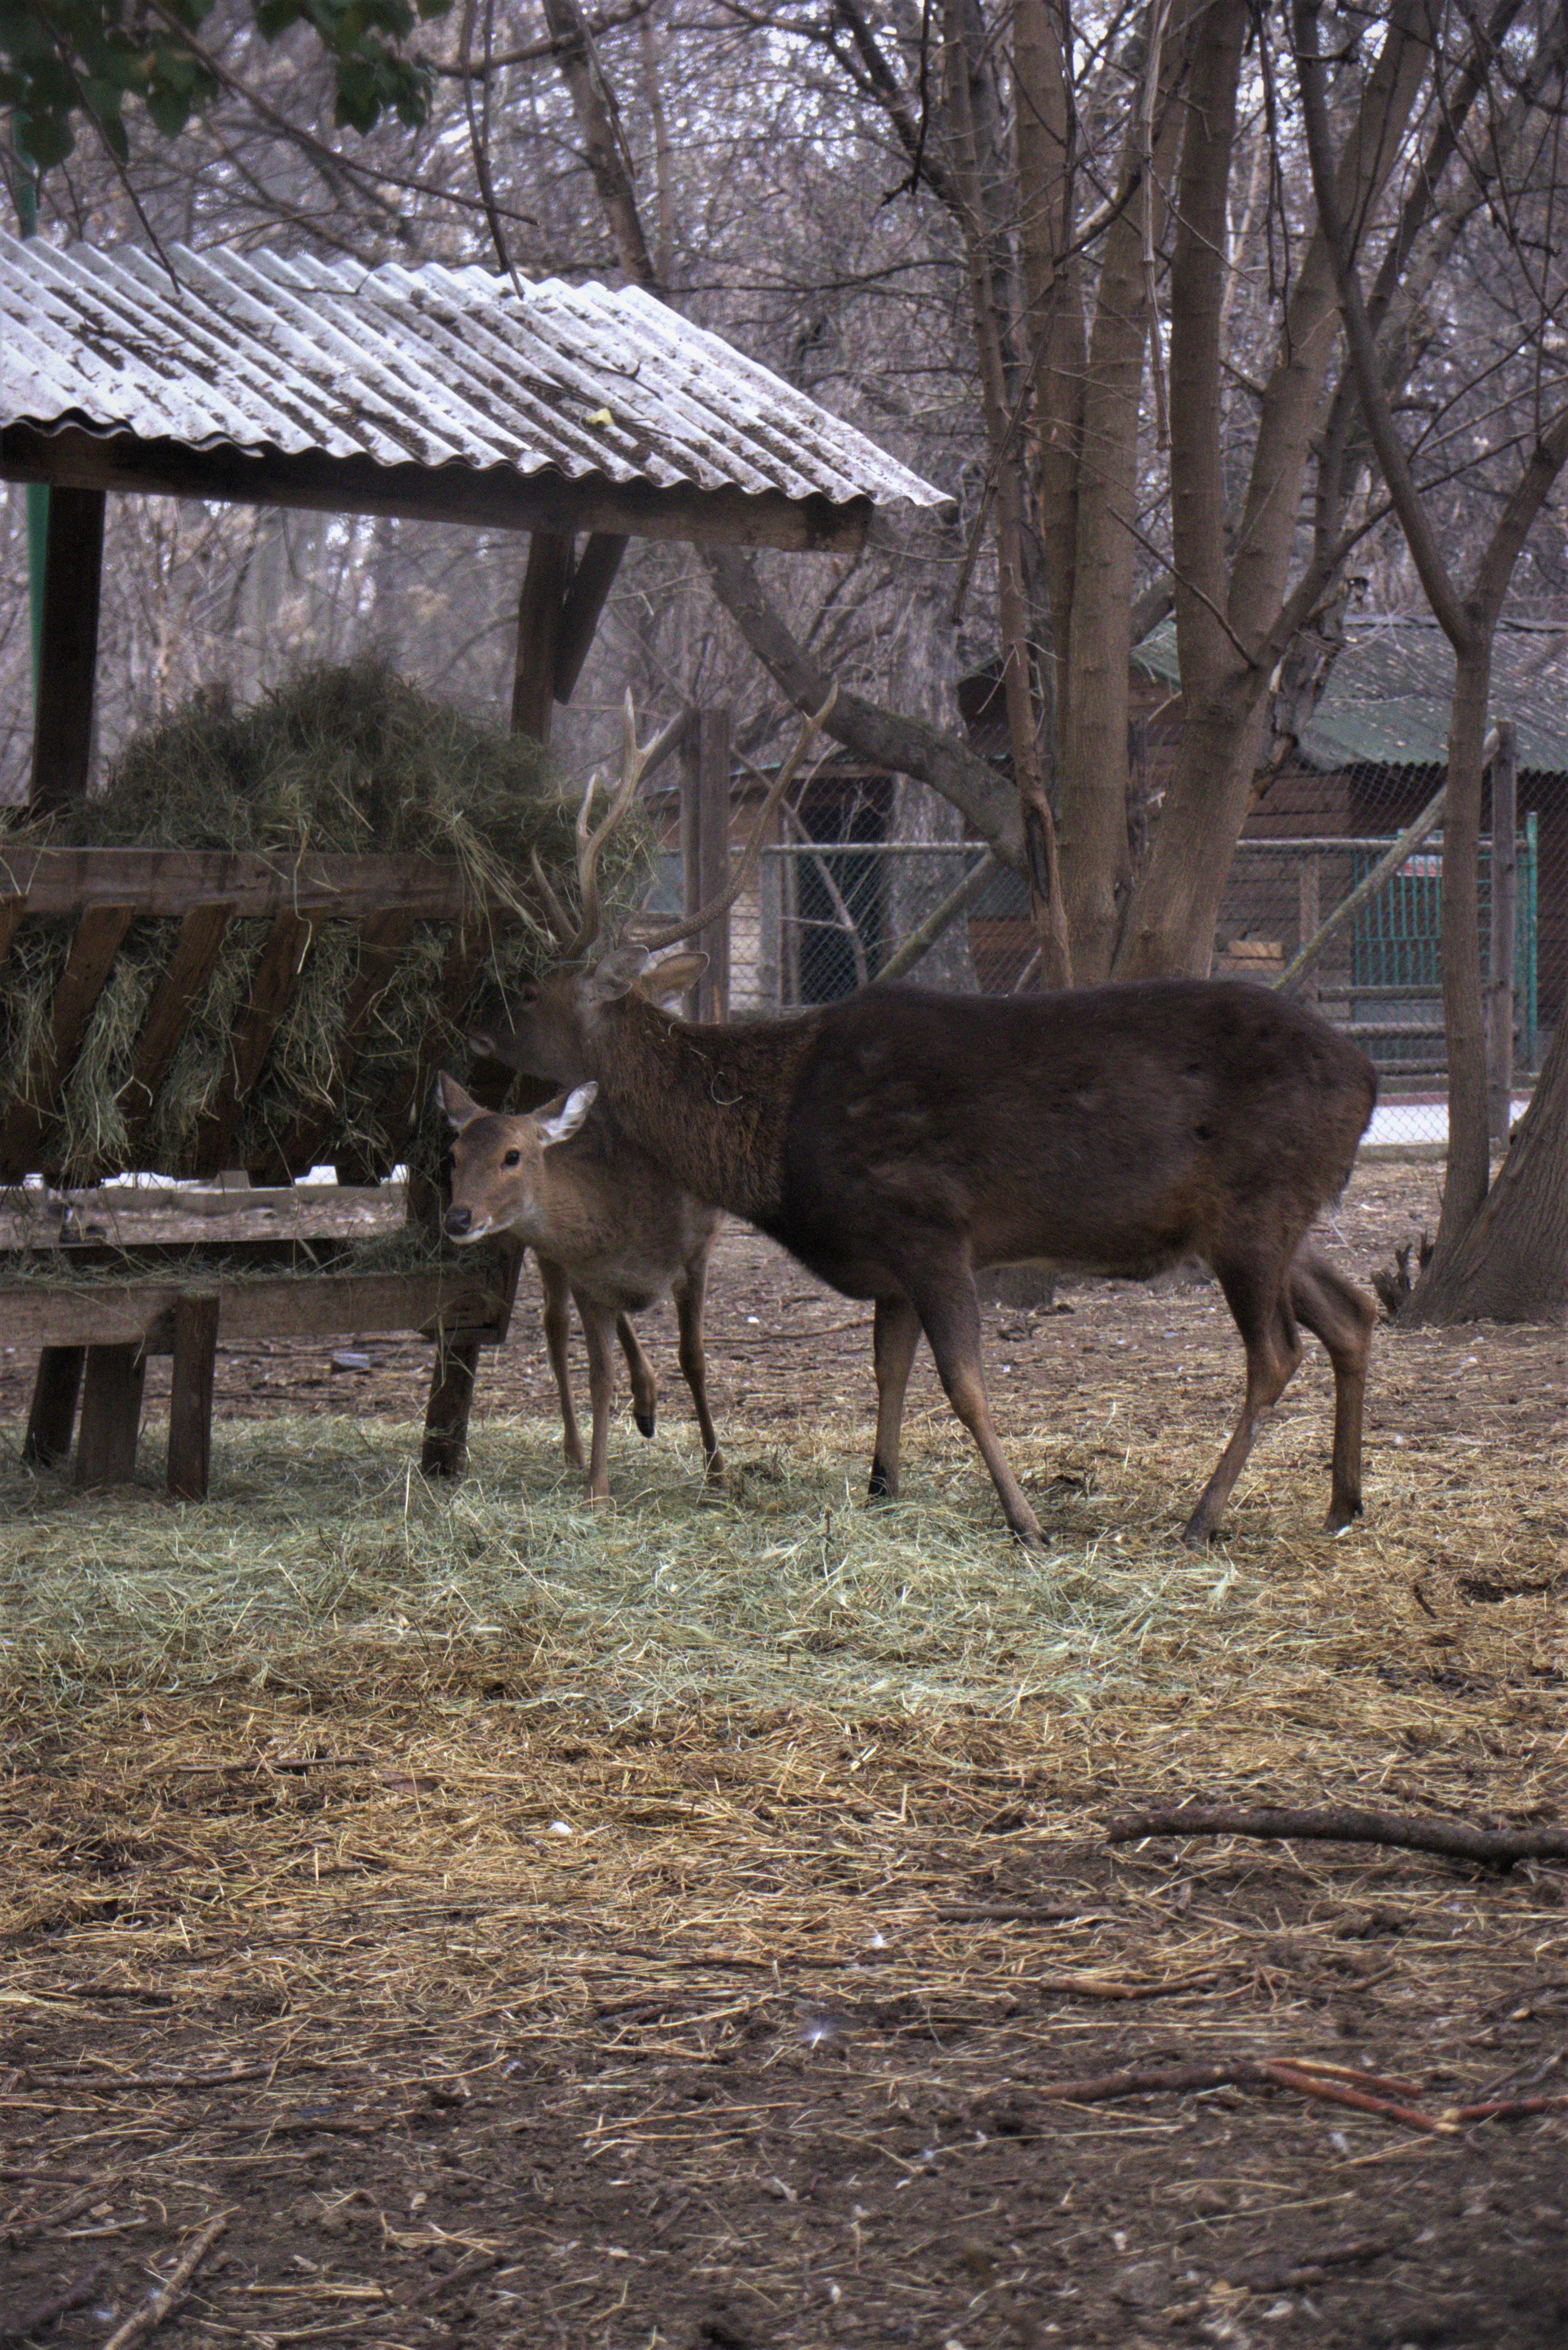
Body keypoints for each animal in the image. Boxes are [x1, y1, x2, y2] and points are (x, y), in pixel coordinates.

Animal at [439, 1076, 728, 1504]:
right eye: (454, 1156)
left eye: (512, 1156)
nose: (458, 1218)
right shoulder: (585, 1279)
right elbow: (599, 1377)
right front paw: (598, 1489)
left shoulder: (697, 1254)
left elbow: (693, 1361)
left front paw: (717, 1472)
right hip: (549, 1257)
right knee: (555, 1326)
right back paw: (579, 1446)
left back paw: (646, 1402)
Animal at [475, 686, 1373, 1551]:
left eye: (531, 990)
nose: (480, 1024)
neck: (779, 1138)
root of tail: (1365, 1081)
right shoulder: (888, 1261)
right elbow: (888, 1373)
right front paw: (882, 1486)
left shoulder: (928, 1222)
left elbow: (963, 1384)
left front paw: (1025, 1521)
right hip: (1267, 1216)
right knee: (1351, 1312)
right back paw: (1340, 1502)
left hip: (1255, 1207)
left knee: (1276, 1354)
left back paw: (1202, 1515)